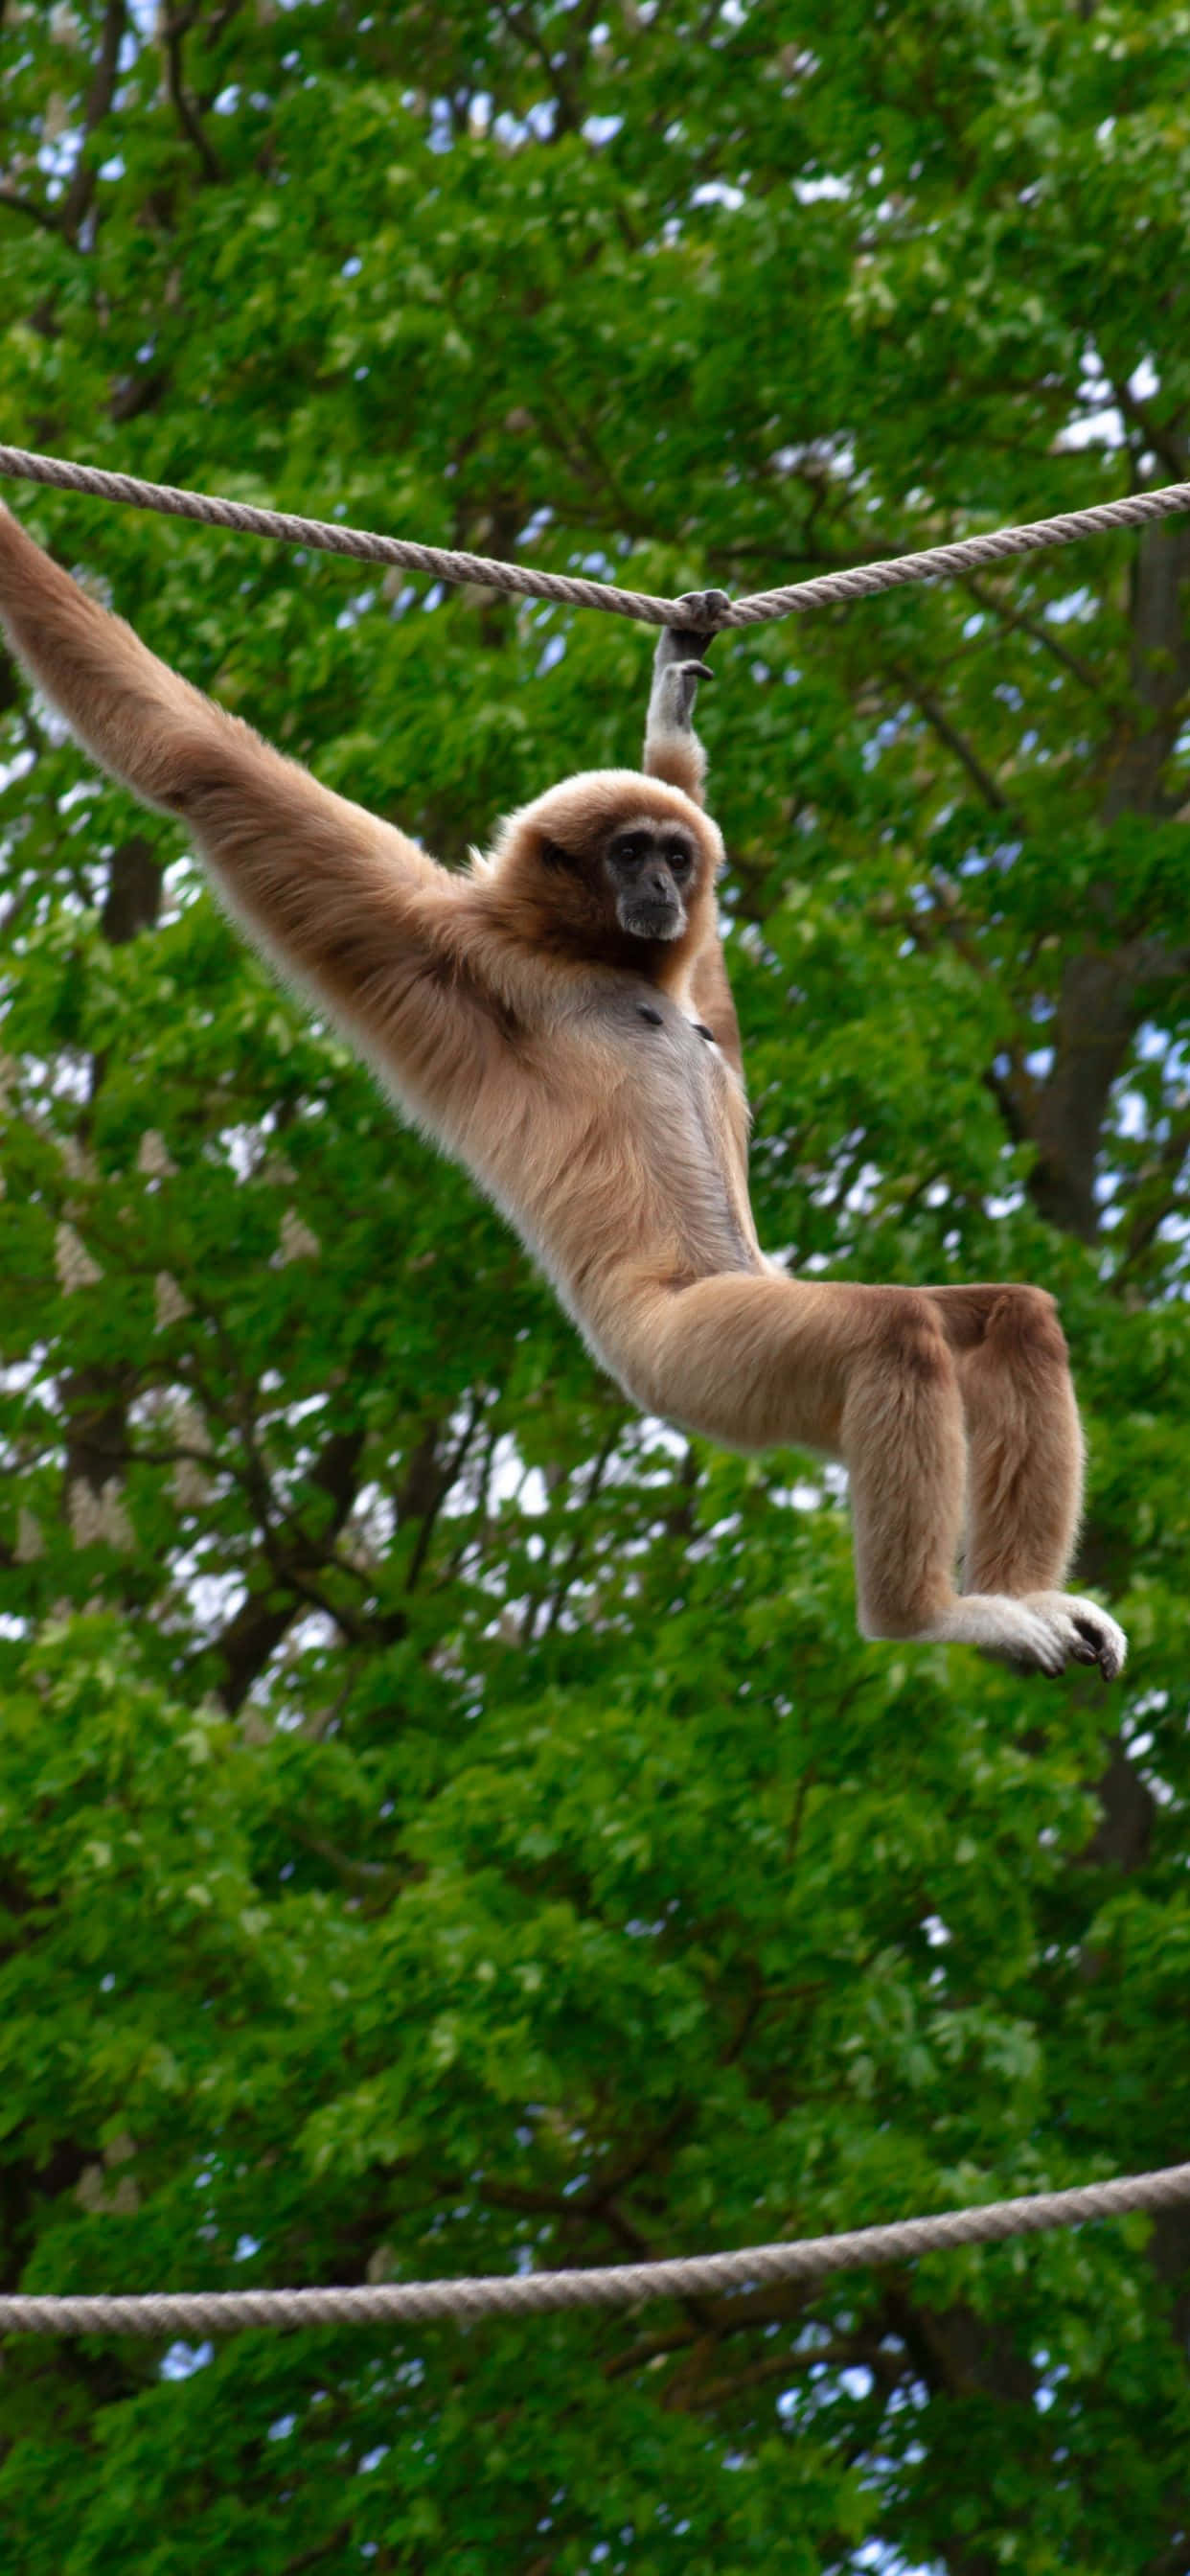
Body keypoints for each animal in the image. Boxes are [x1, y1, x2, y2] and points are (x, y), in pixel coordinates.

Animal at [0, 503, 1126, 1679]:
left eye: (675, 854)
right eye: (629, 852)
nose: (664, 882)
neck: (596, 965)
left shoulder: (662, 974)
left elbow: (710, 985)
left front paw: (673, 708)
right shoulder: (449, 948)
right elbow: (204, 768)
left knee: (1009, 1318)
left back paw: (1023, 1594)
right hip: (697, 1357)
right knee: (895, 1333)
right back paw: (933, 1618)